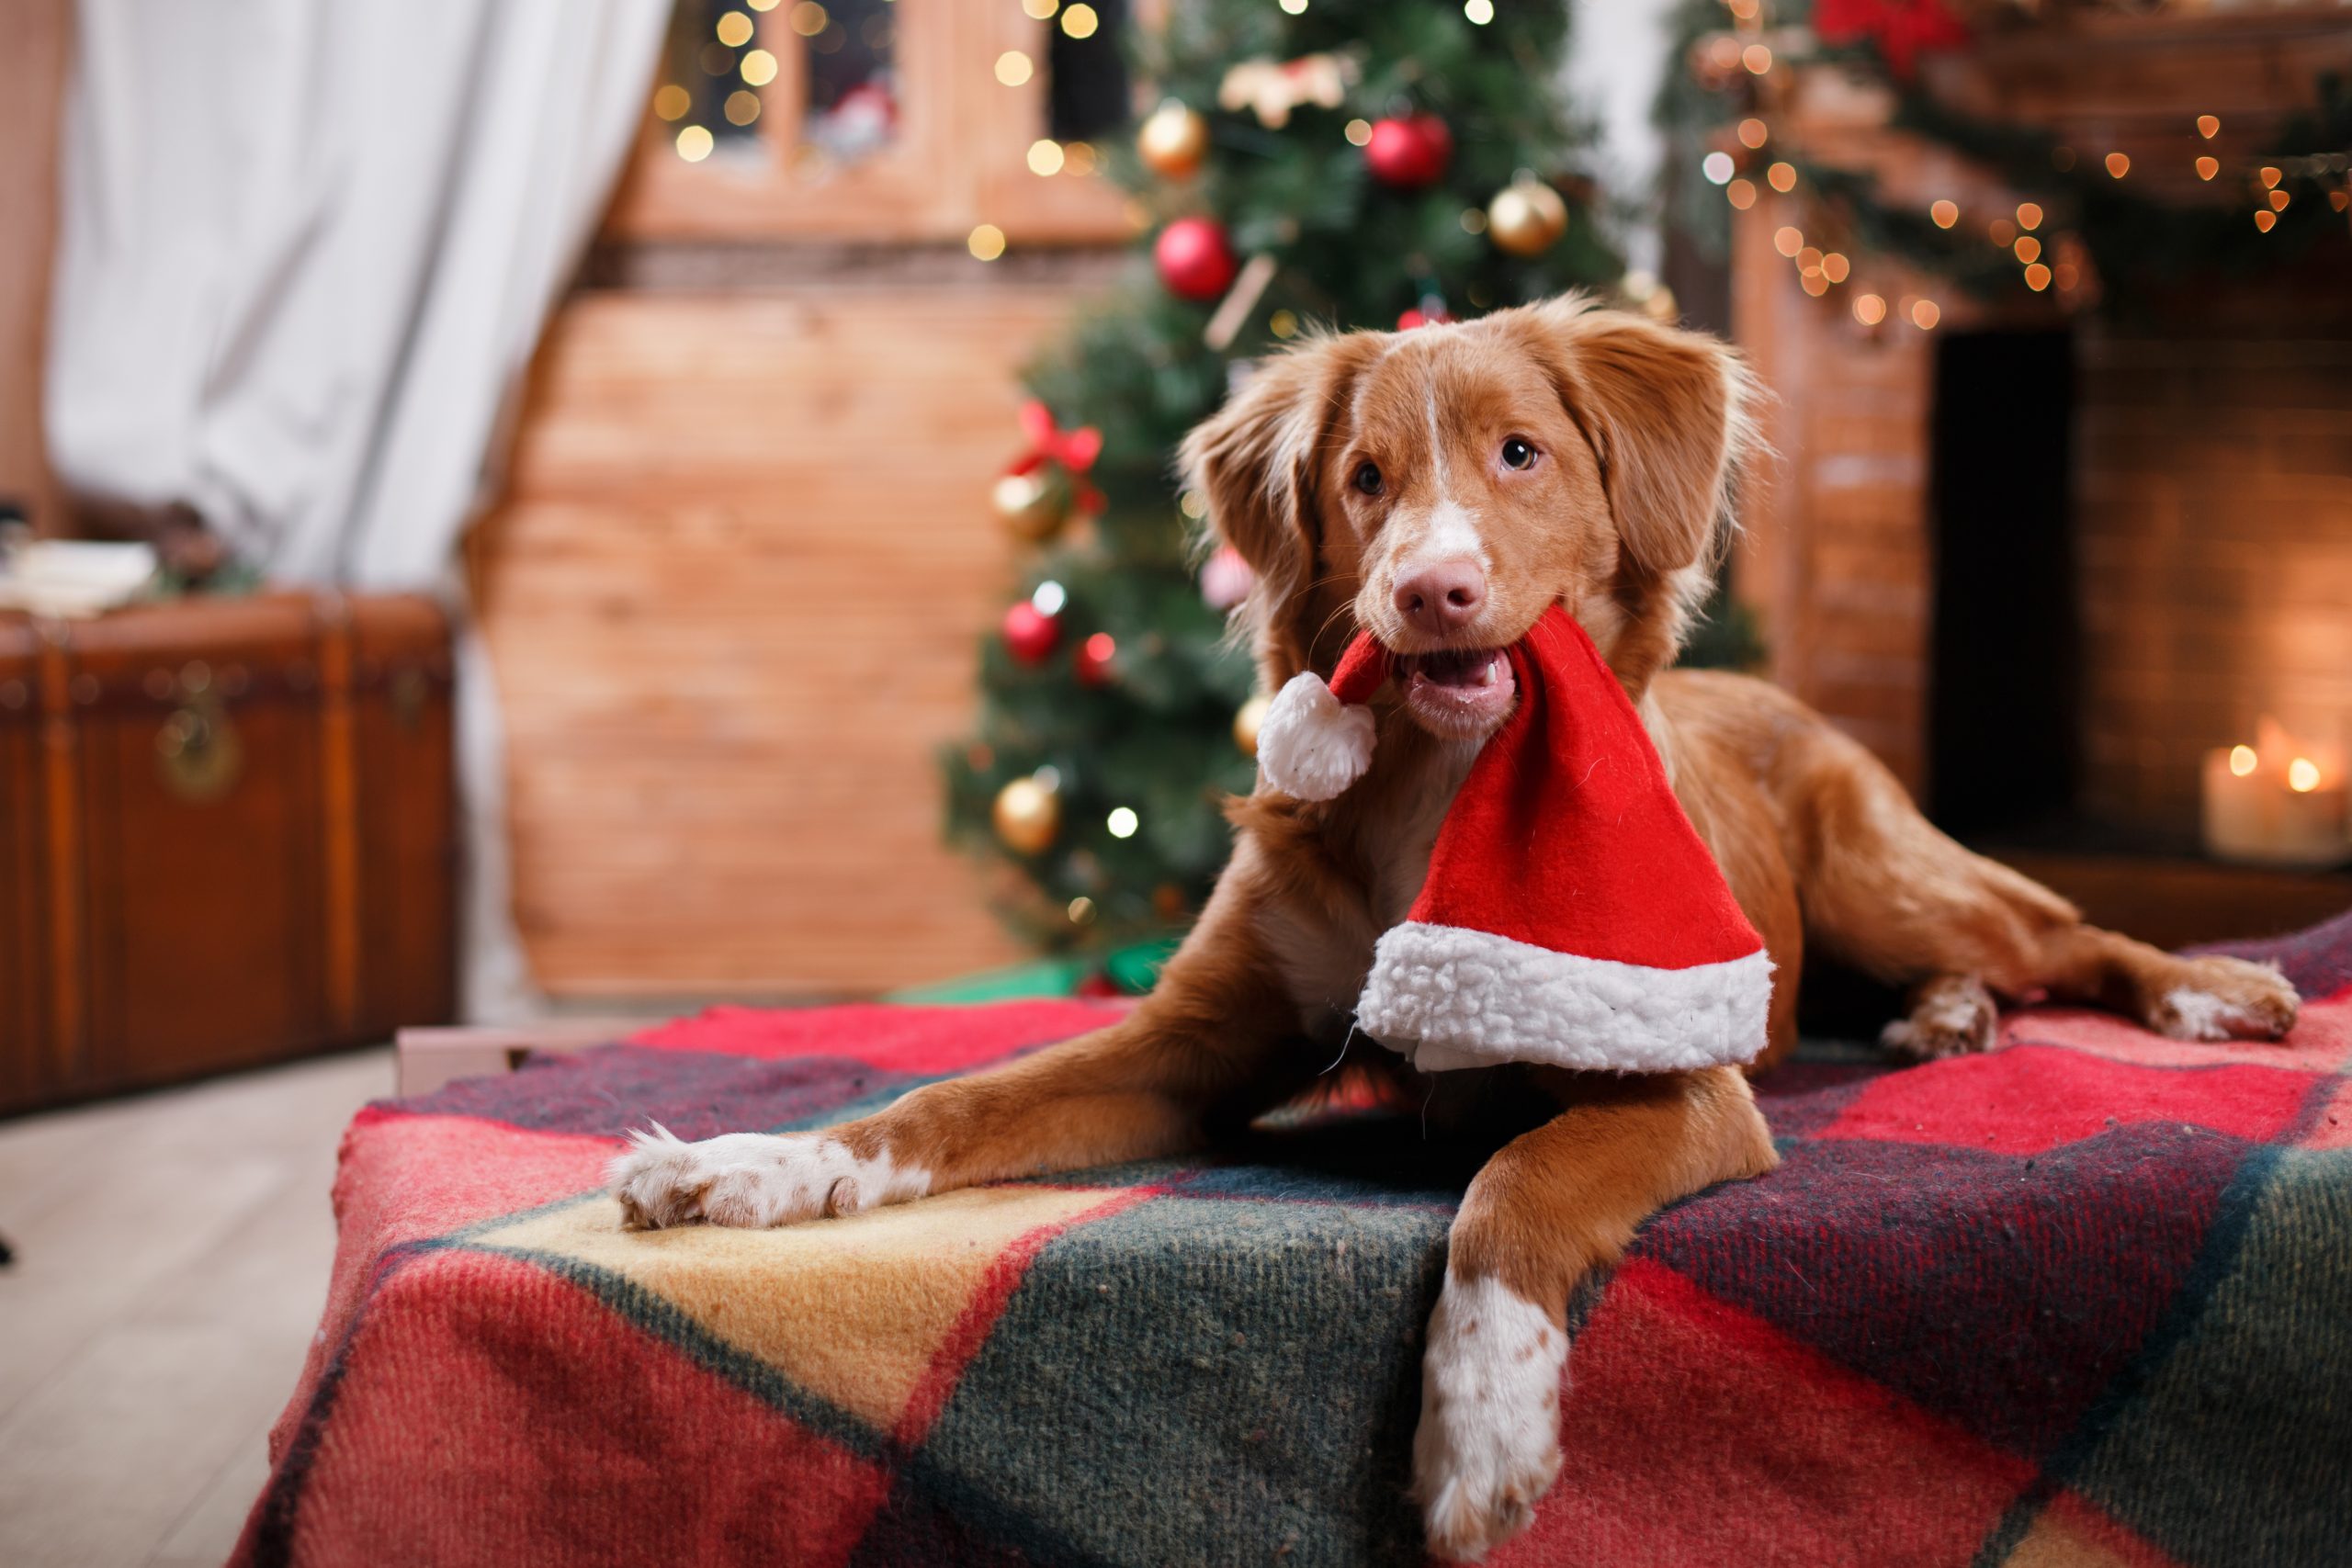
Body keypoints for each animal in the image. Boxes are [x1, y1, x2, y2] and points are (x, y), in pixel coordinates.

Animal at [611, 291, 2295, 1561]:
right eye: (1362, 477)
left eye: (1521, 453)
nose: (1429, 591)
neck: (1437, 791)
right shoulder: (1187, 1045)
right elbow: (948, 1099)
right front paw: (752, 1166)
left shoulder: (1679, 1081)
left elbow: (1508, 1189)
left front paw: (1483, 1425)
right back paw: (1943, 1015)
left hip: (1890, 871)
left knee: (2066, 936)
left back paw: (2203, 989)